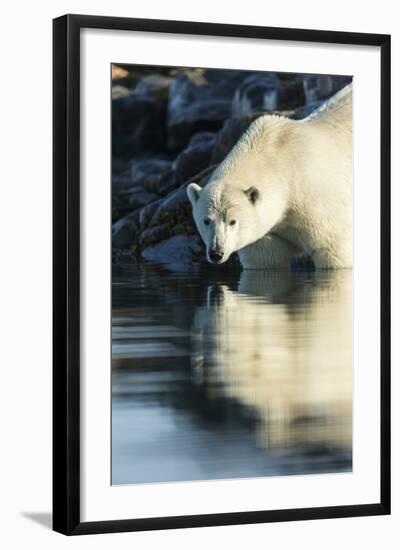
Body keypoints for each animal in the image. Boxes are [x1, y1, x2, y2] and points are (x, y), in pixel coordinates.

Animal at [186, 83, 352, 270]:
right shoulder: (269, 233)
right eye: (206, 220)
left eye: (233, 221)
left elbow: (333, 251)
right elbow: (267, 259)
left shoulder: (318, 202)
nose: (216, 253)